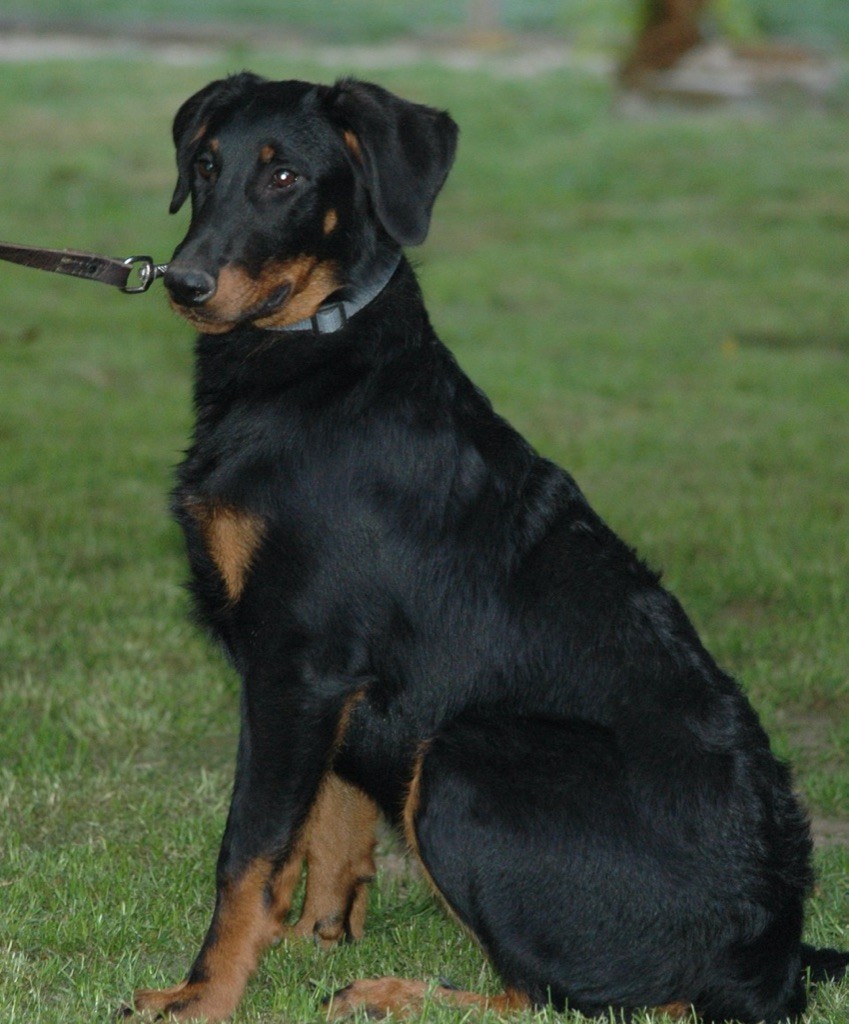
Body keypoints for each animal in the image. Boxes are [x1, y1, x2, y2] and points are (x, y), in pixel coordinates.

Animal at [127, 73, 848, 1023]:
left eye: (285, 179)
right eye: (206, 164)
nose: (184, 281)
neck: (317, 350)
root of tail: (773, 957)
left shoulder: (296, 657)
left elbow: (249, 849)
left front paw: (203, 994)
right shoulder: (326, 678)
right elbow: (328, 818)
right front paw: (321, 932)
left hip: (461, 760)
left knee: (559, 997)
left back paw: (390, 993)